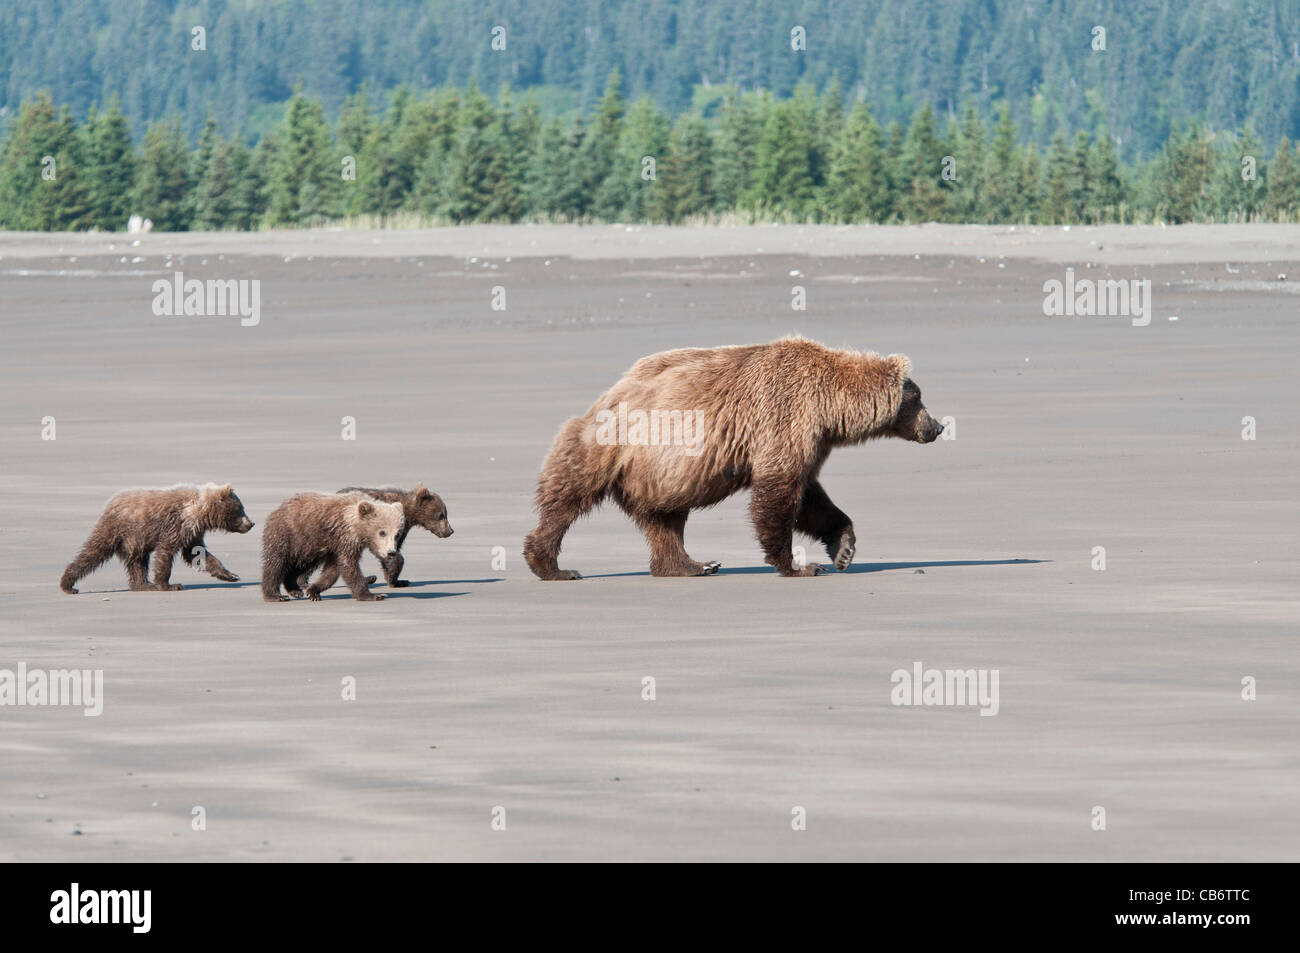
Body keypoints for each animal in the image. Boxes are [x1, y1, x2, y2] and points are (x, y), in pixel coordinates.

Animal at [60, 483, 254, 594]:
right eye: (241, 508)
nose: (251, 523)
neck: (198, 511)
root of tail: (110, 503)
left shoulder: (193, 532)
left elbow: (197, 554)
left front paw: (230, 575)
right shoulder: (175, 525)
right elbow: (166, 553)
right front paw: (169, 585)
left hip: (135, 541)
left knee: (137, 562)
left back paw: (143, 585)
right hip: (117, 530)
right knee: (92, 552)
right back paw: (68, 584)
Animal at [260, 492, 405, 602]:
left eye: (397, 534)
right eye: (382, 532)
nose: (391, 552)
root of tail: (278, 508)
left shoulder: (335, 545)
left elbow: (333, 570)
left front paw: (313, 591)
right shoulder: (343, 537)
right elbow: (348, 565)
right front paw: (372, 595)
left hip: (310, 546)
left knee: (303, 564)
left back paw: (294, 589)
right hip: (288, 534)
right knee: (275, 563)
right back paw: (275, 595)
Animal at [523, 336, 944, 580]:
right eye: (919, 398)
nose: (938, 427)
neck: (830, 405)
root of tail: (610, 393)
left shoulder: (811, 439)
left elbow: (812, 498)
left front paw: (843, 548)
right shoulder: (784, 416)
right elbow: (778, 493)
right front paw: (800, 564)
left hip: (657, 473)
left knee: (664, 519)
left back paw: (692, 565)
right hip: (611, 444)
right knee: (567, 495)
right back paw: (551, 564)